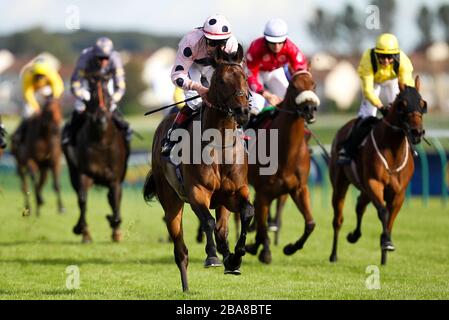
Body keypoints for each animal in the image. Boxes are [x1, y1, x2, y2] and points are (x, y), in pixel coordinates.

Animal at [62, 74, 128, 242]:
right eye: (92, 99)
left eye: (109, 98)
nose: (100, 119)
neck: (101, 142)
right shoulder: (84, 174)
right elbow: (82, 199)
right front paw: (81, 229)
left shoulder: (114, 178)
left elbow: (115, 200)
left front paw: (115, 225)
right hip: (72, 172)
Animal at [144, 45, 256, 292]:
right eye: (222, 81)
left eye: (245, 77)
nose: (243, 111)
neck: (219, 144)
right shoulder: (197, 192)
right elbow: (208, 222)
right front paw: (213, 257)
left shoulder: (236, 191)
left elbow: (246, 213)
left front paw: (236, 257)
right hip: (172, 203)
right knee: (181, 250)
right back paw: (186, 286)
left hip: (221, 202)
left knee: (222, 230)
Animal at [243, 69, 320, 262]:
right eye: (293, 86)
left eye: (314, 85)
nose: (309, 109)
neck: (287, 154)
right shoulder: (264, 192)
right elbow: (262, 226)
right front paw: (264, 251)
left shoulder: (299, 188)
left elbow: (310, 223)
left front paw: (291, 248)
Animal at [328, 77, 426, 264]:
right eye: (402, 104)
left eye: (422, 103)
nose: (417, 132)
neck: (393, 152)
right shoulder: (374, 183)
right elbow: (383, 212)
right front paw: (385, 241)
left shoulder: (399, 192)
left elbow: (391, 218)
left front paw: (385, 249)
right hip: (340, 183)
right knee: (338, 218)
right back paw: (334, 255)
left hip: (365, 190)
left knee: (360, 206)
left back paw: (355, 235)